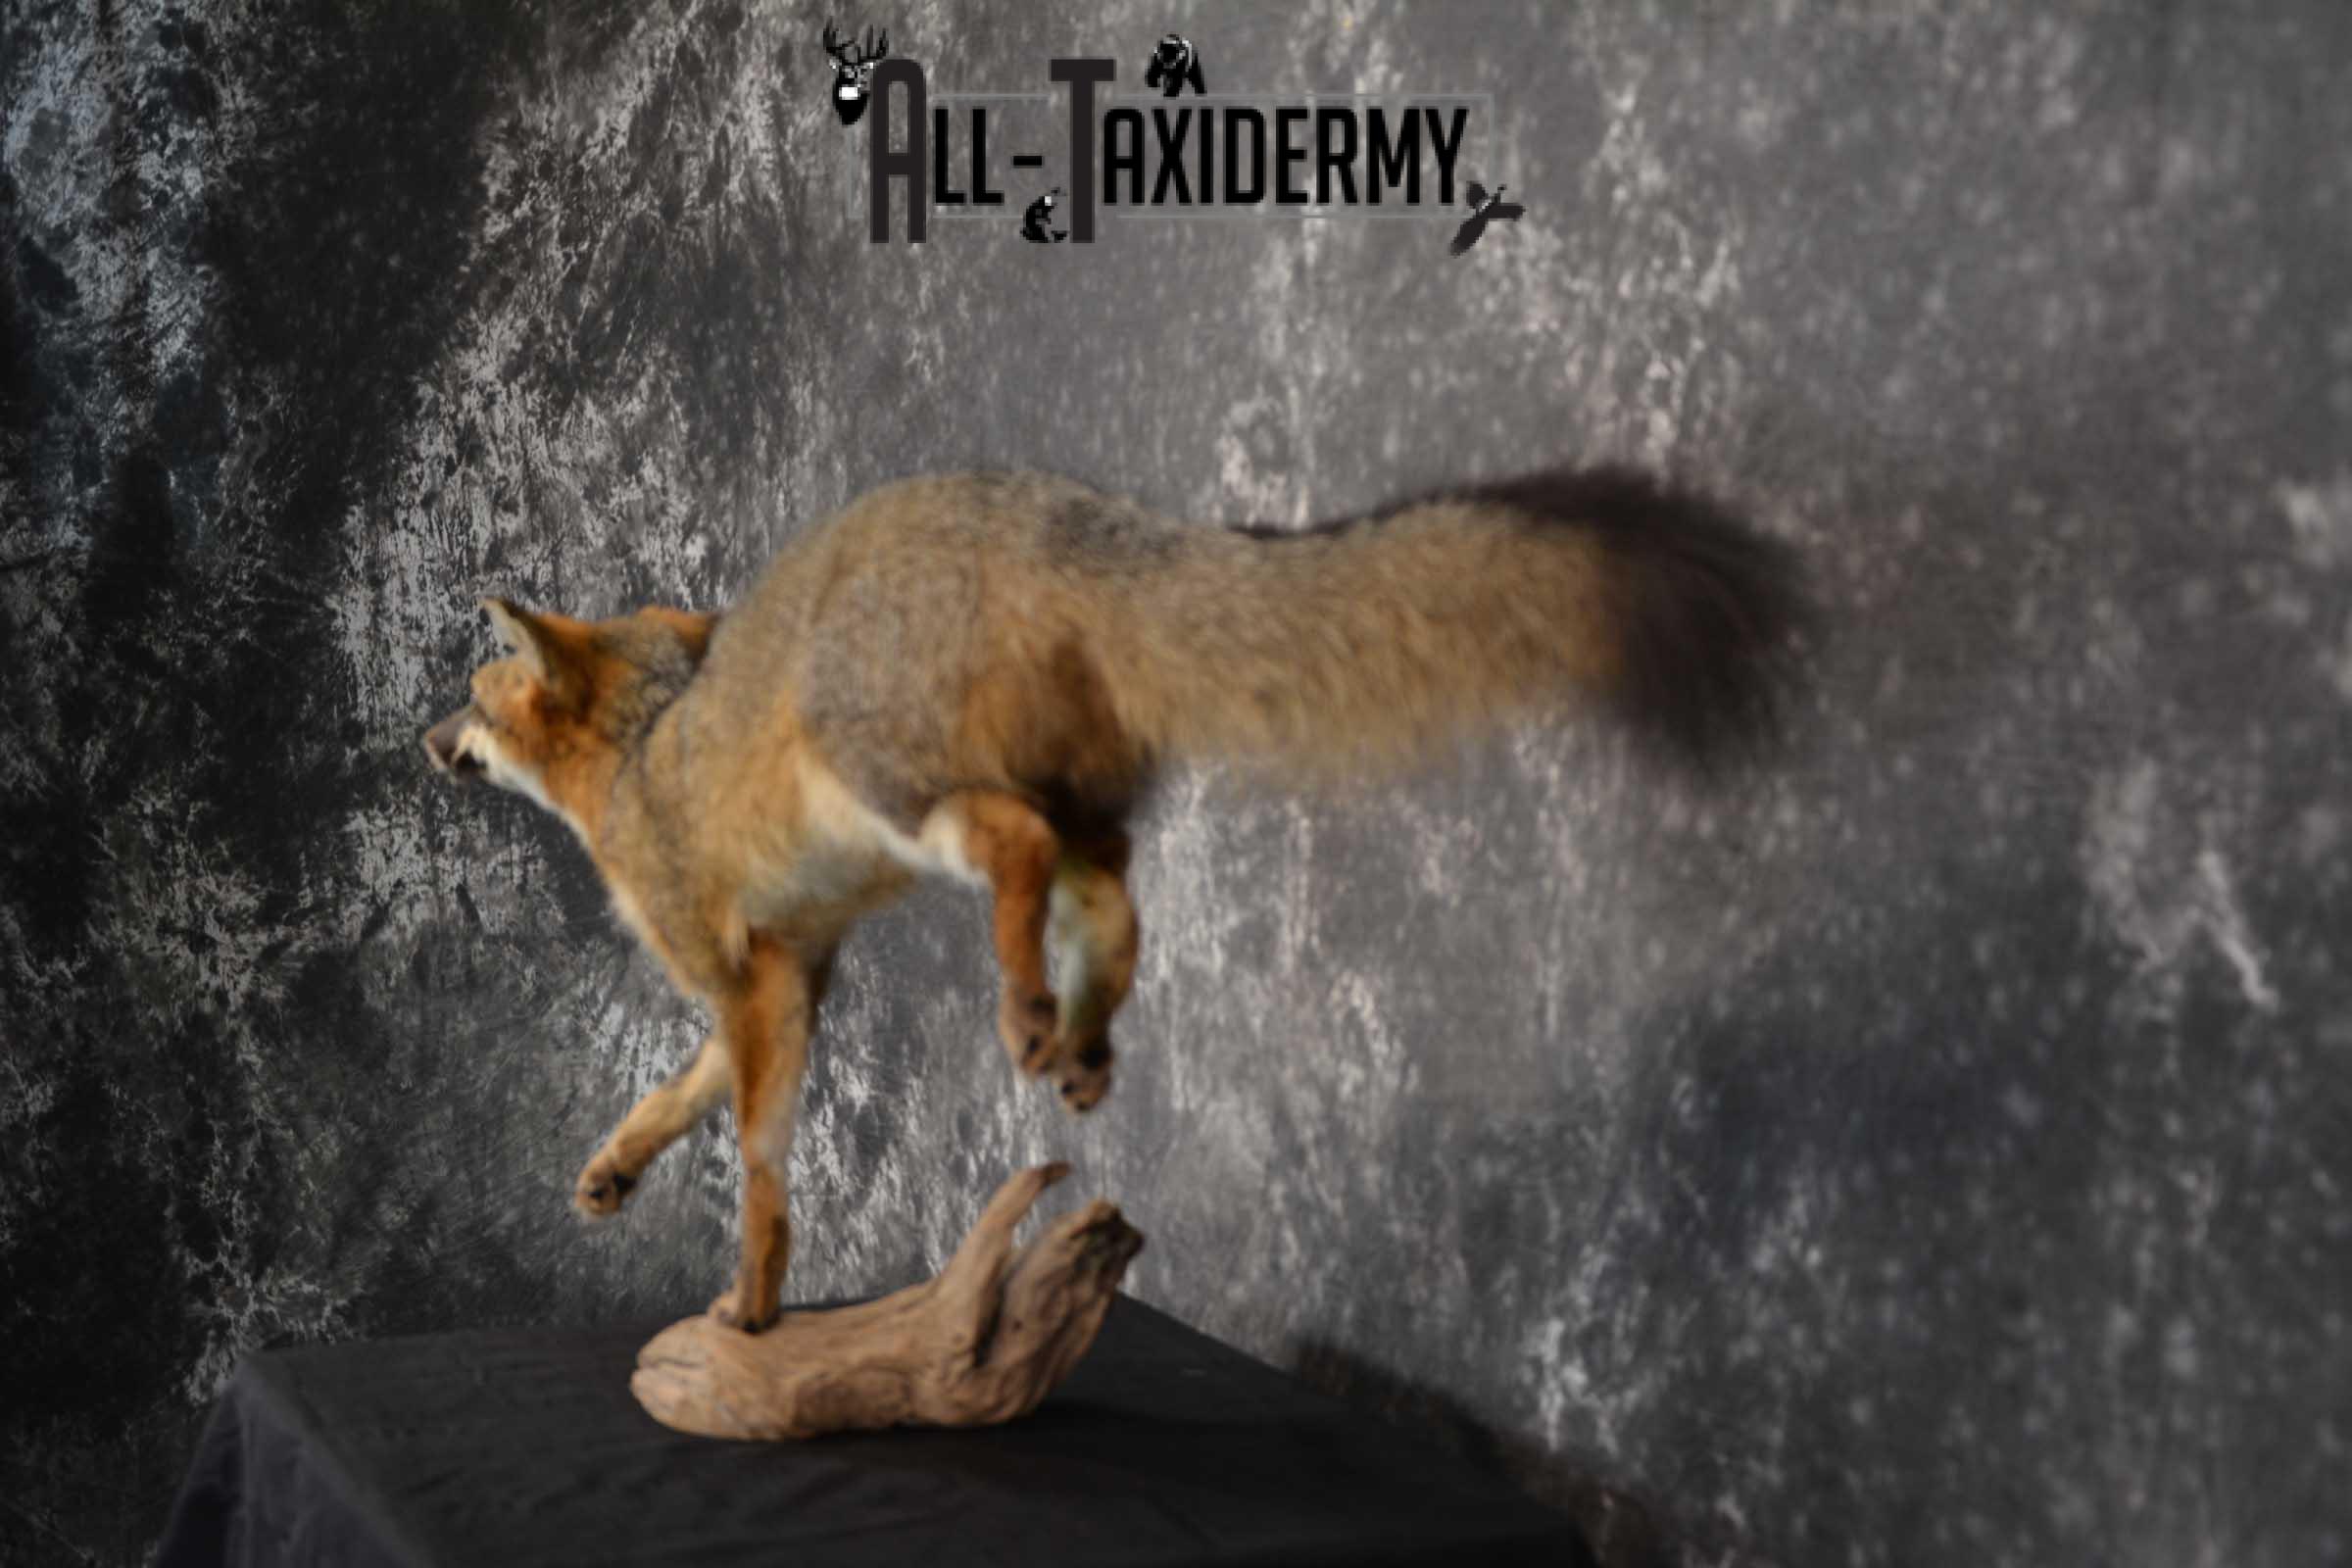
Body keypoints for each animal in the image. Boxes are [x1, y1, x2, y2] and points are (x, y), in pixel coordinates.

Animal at [422, 465, 1803, 1332]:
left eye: (473, 698)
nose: (422, 739)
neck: (641, 756)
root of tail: (1035, 499)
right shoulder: (792, 975)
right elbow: (688, 1089)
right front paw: (614, 1169)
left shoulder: (743, 970)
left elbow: (760, 1159)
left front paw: (755, 1306)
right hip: (1074, 822)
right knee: (1120, 912)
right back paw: (1076, 1037)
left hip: (905, 793)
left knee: (1019, 848)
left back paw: (1028, 1009)